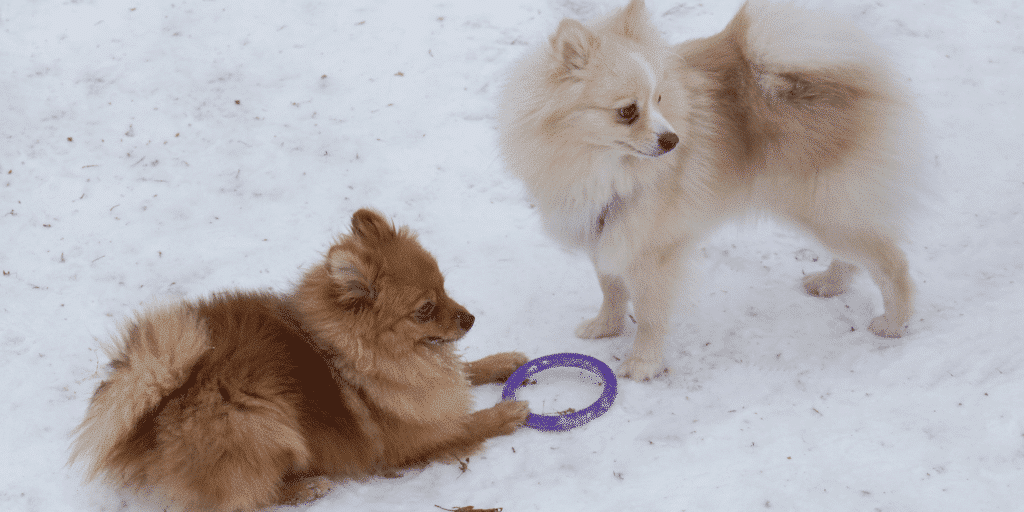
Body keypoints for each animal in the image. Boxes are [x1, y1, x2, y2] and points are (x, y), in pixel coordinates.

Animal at [72, 208, 532, 512]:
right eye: (425, 309)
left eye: (445, 288)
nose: (469, 318)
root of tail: (154, 413)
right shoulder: (413, 440)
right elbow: (467, 423)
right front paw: (507, 412)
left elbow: (466, 371)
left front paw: (504, 362)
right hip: (260, 417)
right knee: (246, 499)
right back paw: (304, 489)